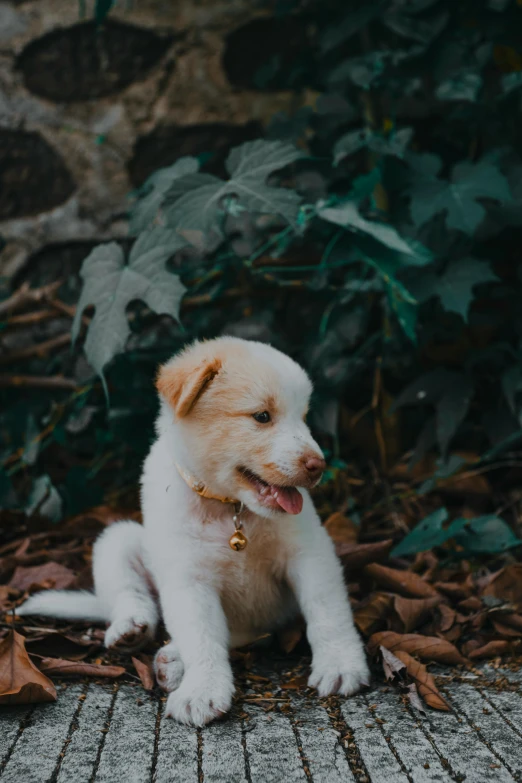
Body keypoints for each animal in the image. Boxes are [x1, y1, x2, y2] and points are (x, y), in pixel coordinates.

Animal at [19, 336, 366, 728]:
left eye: (304, 417)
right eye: (262, 416)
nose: (318, 465)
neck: (232, 510)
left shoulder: (309, 553)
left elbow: (327, 611)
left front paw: (340, 664)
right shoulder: (187, 578)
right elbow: (201, 637)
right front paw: (202, 689)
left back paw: (171, 659)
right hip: (119, 539)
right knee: (133, 595)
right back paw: (133, 630)